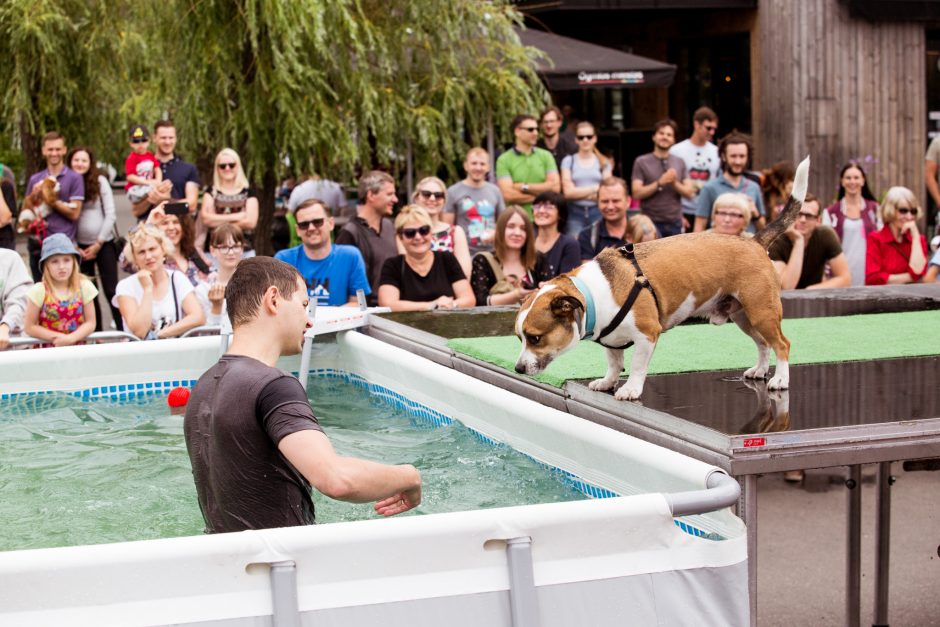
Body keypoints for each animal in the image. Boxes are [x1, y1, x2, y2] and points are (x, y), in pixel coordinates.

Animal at [516, 157, 808, 402]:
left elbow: (636, 366)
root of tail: (754, 242)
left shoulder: (647, 335)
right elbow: (614, 361)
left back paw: (780, 379)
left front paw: (631, 389)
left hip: (761, 311)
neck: (592, 293)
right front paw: (609, 381)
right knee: (763, 343)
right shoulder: (612, 340)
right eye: (520, 338)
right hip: (744, 316)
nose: (518, 368)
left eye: (535, 338)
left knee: (782, 344)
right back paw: (760, 369)